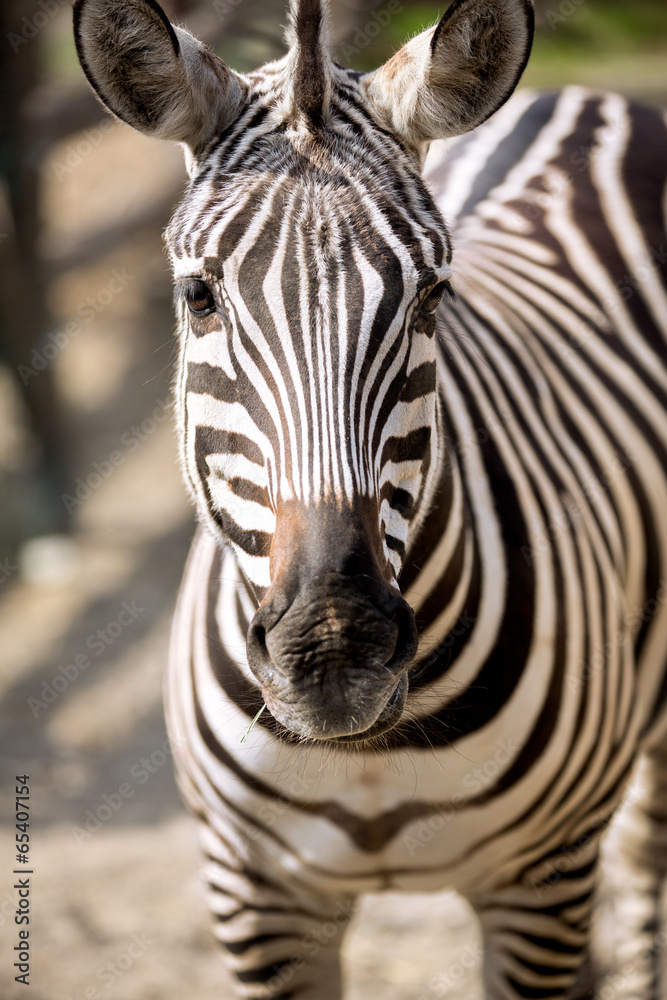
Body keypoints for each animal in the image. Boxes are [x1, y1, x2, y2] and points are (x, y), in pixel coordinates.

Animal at [72, 0, 667, 996]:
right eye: (197, 297)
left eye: (431, 299)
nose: (332, 650)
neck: (370, 752)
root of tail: (586, 98)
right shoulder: (257, 899)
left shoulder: (538, 883)